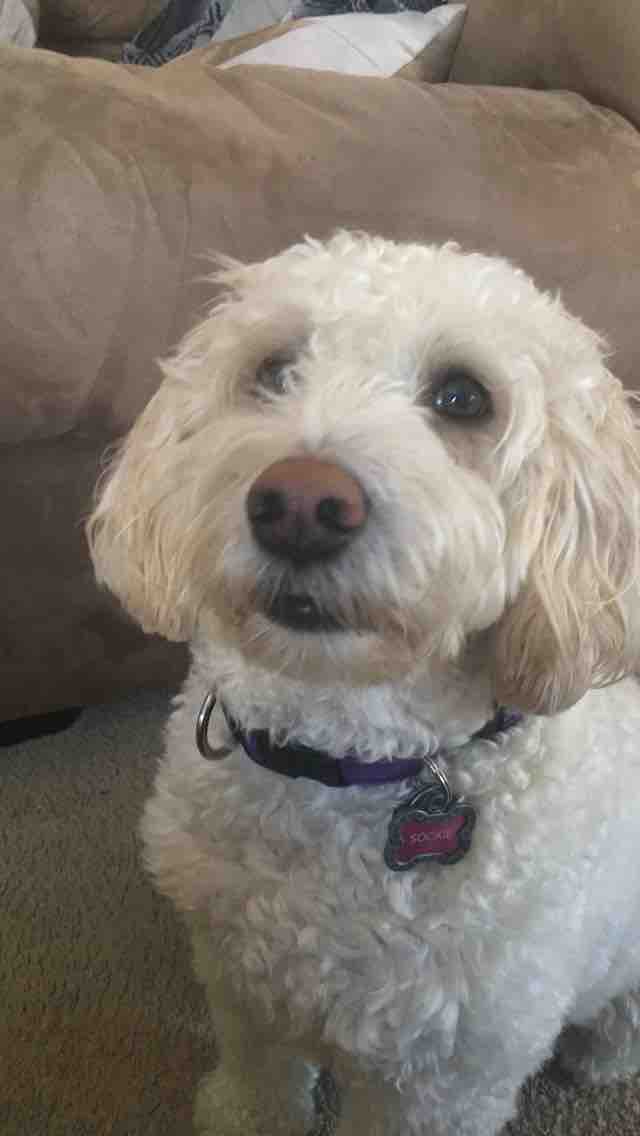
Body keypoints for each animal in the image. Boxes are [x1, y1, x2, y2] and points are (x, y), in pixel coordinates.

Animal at [88, 232, 640, 1135]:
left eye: (463, 397)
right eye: (274, 370)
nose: (300, 504)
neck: (342, 750)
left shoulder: (446, 1077)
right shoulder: (241, 988)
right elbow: (260, 1084)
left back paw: (604, 1056)